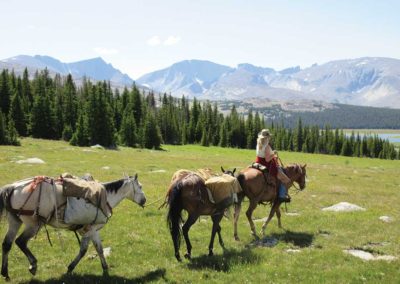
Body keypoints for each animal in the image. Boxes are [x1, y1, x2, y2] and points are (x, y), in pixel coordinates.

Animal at [0, 173, 147, 280]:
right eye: (140, 186)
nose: (144, 200)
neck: (105, 197)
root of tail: (13, 187)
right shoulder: (92, 229)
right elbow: (90, 249)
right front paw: (73, 268)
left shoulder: (91, 230)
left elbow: (93, 249)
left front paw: (103, 268)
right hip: (33, 224)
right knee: (20, 241)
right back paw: (33, 265)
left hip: (15, 221)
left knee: (7, 244)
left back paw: (5, 273)